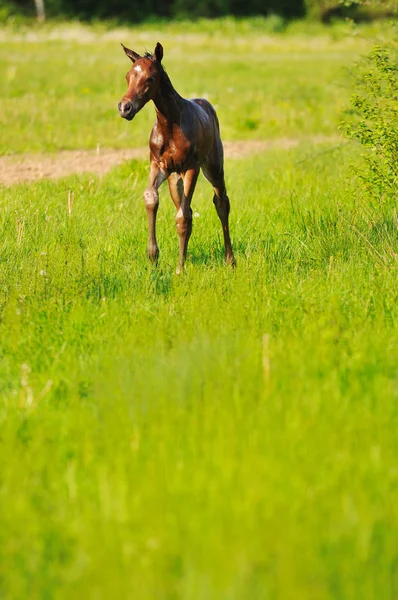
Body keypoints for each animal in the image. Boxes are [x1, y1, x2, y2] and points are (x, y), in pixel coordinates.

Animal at [119, 42, 235, 274]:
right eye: (128, 76)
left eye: (150, 78)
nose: (125, 108)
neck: (170, 125)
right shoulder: (158, 165)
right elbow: (152, 198)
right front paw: (153, 258)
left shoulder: (191, 168)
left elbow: (183, 218)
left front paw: (180, 269)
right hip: (175, 178)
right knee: (184, 205)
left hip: (213, 167)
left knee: (221, 202)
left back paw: (230, 260)